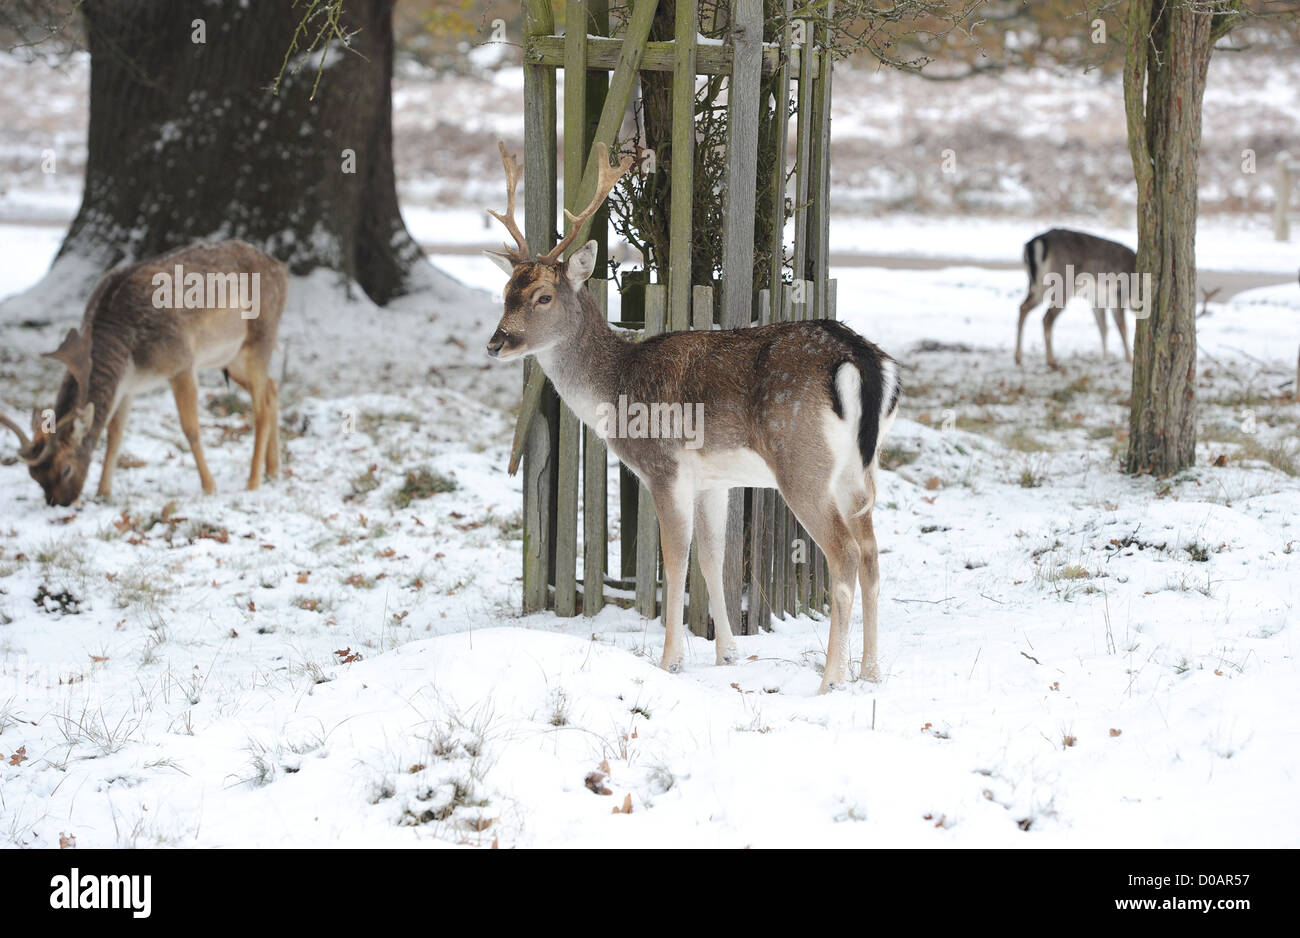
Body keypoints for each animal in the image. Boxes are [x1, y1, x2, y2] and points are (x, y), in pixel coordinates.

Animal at [1, 239, 287, 504]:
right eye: (35, 477)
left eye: (66, 469)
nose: (59, 503)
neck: (129, 355)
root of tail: (281, 269)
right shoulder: (129, 387)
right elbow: (115, 435)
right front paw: (104, 492)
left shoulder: (182, 362)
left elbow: (191, 430)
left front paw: (209, 486)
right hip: (230, 358)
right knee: (272, 388)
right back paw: (273, 470)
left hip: (260, 338)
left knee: (260, 407)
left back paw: (253, 481)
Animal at [483, 142, 899, 691]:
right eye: (506, 292)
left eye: (542, 297)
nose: (496, 343)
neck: (616, 388)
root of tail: (862, 359)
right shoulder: (714, 479)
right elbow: (711, 557)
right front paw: (727, 653)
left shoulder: (664, 467)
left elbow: (676, 558)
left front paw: (670, 662)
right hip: (860, 469)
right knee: (872, 555)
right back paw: (871, 672)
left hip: (803, 463)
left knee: (845, 554)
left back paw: (831, 678)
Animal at [1013, 226, 1138, 368]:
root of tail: (1036, 242)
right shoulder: (1119, 295)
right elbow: (1122, 328)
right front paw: (1129, 360)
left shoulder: (1096, 301)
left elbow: (1103, 328)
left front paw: (1105, 359)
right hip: (1062, 285)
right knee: (1047, 318)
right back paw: (1052, 361)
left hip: (1036, 284)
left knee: (1023, 307)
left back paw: (1018, 358)